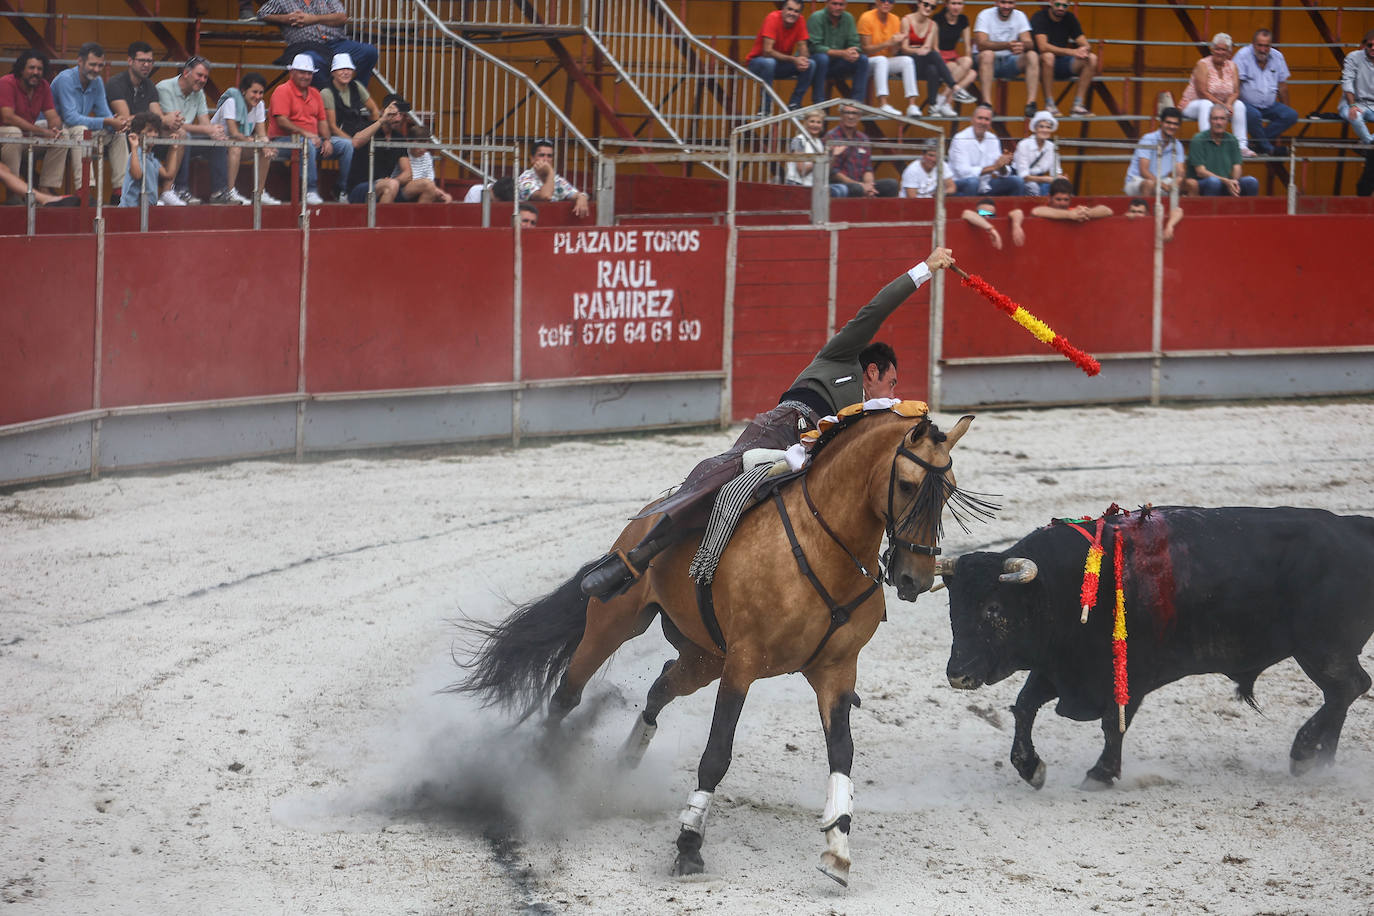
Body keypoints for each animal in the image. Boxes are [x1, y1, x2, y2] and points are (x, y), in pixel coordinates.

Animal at [458, 403, 989, 889]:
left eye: (950, 489)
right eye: (907, 485)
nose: (914, 579)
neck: (824, 546)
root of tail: (638, 524)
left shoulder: (837, 671)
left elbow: (842, 752)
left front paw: (837, 847)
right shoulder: (743, 664)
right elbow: (717, 752)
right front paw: (689, 845)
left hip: (702, 657)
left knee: (659, 687)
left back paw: (626, 761)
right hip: (614, 626)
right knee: (566, 694)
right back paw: (540, 776)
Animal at [939, 508, 1374, 791]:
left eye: (993, 609)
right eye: (953, 607)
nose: (957, 673)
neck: (1063, 586)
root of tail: (1355, 527)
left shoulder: (1123, 676)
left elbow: (1112, 724)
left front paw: (1101, 773)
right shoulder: (1058, 668)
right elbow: (1024, 707)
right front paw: (1031, 767)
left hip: (1324, 649)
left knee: (1349, 687)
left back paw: (1304, 753)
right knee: (1341, 693)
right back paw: (1321, 759)